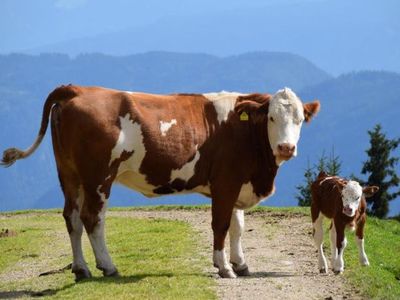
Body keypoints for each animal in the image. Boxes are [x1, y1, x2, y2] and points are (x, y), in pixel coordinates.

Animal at [0, 85, 318, 282]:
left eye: (300, 119)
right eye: (272, 117)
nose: (286, 147)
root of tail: (78, 89)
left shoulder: (238, 181)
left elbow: (237, 226)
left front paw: (241, 264)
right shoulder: (225, 183)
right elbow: (221, 225)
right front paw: (224, 267)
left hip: (69, 175)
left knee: (72, 218)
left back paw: (81, 269)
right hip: (98, 177)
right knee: (92, 219)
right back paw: (108, 266)